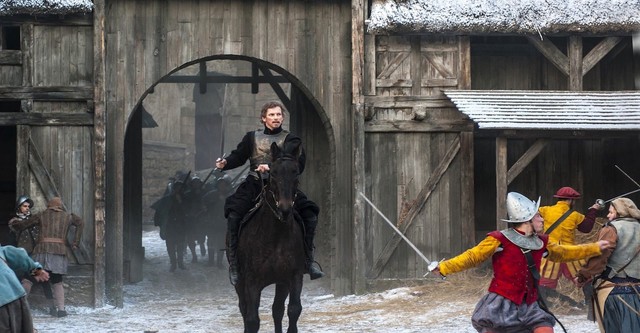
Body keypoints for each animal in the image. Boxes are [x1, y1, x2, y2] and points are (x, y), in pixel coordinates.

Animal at [235, 141, 304, 332]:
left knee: (277, 309)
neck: (275, 237)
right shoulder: (252, 281)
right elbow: (252, 319)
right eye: (273, 173)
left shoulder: (293, 277)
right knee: (244, 309)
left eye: (295, 172)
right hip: (240, 282)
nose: (285, 209)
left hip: (281, 284)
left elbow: (293, 310)